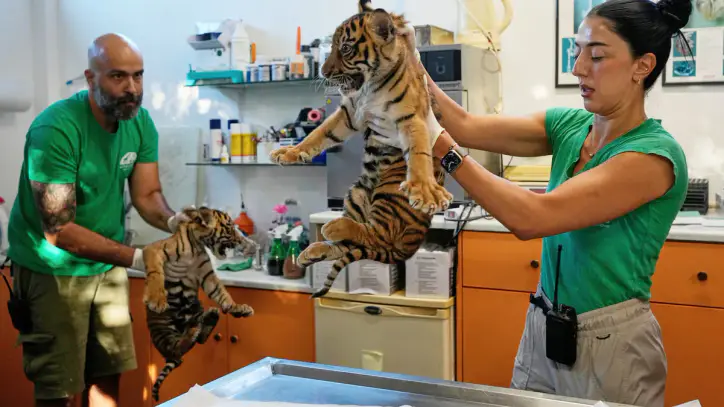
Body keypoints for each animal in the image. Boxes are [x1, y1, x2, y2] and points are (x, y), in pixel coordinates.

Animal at [141, 206, 257, 401]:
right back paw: (190, 332)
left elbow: (221, 293)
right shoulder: (153, 249)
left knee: (197, 341)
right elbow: (156, 273)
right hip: (162, 328)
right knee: (177, 350)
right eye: (230, 227)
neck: (195, 246)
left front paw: (236, 307)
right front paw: (157, 300)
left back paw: (208, 319)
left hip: (196, 307)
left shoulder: (207, 274)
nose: (242, 240)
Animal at [269, 0, 451, 298]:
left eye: (345, 48)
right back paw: (313, 249)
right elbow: (319, 134)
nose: (323, 73)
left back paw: (333, 226)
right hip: (356, 194)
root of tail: (411, 245)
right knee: (353, 244)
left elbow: (419, 154)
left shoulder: (410, 118)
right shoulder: (349, 113)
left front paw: (424, 190)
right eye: (331, 46)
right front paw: (290, 152)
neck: (370, 86)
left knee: (376, 235)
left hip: (390, 194)